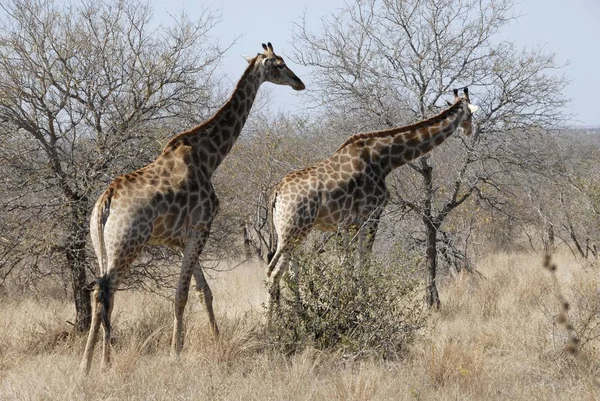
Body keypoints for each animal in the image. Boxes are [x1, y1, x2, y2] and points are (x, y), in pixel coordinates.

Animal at [79, 41, 304, 372]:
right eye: (278, 64)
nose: (299, 83)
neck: (210, 158)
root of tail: (104, 201)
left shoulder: (183, 238)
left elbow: (203, 292)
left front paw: (217, 341)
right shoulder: (201, 228)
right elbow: (182, 294)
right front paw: (176, 352)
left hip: (102, 247)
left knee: (102, 293)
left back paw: (91, 363)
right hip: (128, 244)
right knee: (103, 291)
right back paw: (100, 362)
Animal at [266, 88, 478, 310]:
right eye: (470, 114)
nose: (469, 129)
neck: (385, 160)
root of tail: (276, 193)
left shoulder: (350, 224)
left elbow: (348, 266)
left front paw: (349, 303)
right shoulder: (372, 214)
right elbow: (363, 264)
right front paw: (363, 307)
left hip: (290, 232)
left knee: (288, 272)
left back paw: (296, 313)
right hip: (294, 230)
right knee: (274, 272)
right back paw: (272, 320)